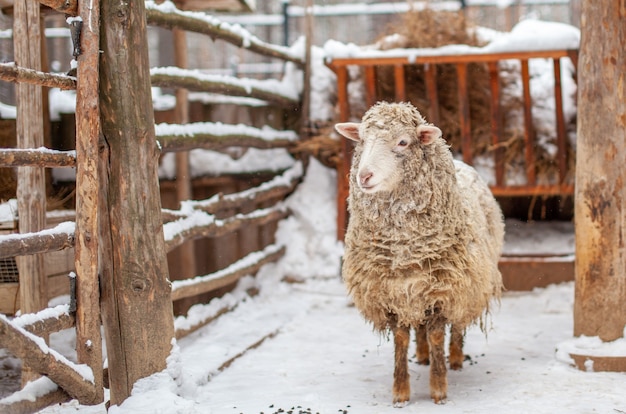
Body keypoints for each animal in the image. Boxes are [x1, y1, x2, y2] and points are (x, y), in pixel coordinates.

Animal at [336, 102, 502, 406]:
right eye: (362, 139)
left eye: (403, 142)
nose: (364, 176)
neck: (405, 251)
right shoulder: (391, 293)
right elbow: (402, 339)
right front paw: (401, 391)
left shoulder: (443, 291)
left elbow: (437, 335)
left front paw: (438, 388)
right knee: (420, 326)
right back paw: (423, 355)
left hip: (467, 282)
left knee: (457, 325)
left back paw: (456, 357)